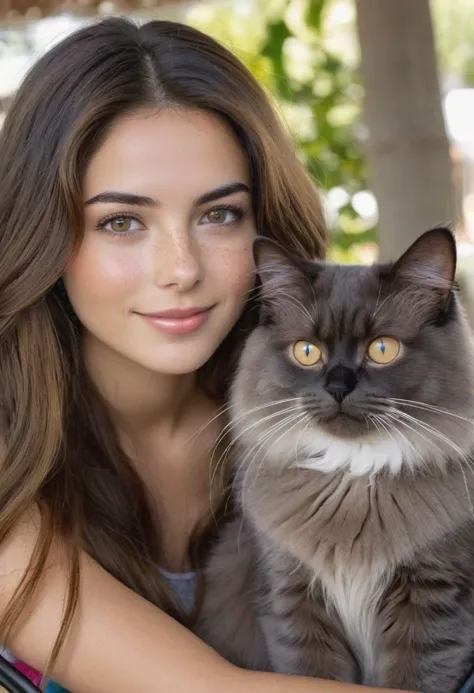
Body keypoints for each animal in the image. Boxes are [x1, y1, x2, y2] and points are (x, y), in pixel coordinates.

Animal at [197, 228, 474, 692]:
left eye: (382, 349)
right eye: (307, 352)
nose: (338, 387)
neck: (351, 473)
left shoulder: (433, 604)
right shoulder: (292, 600)